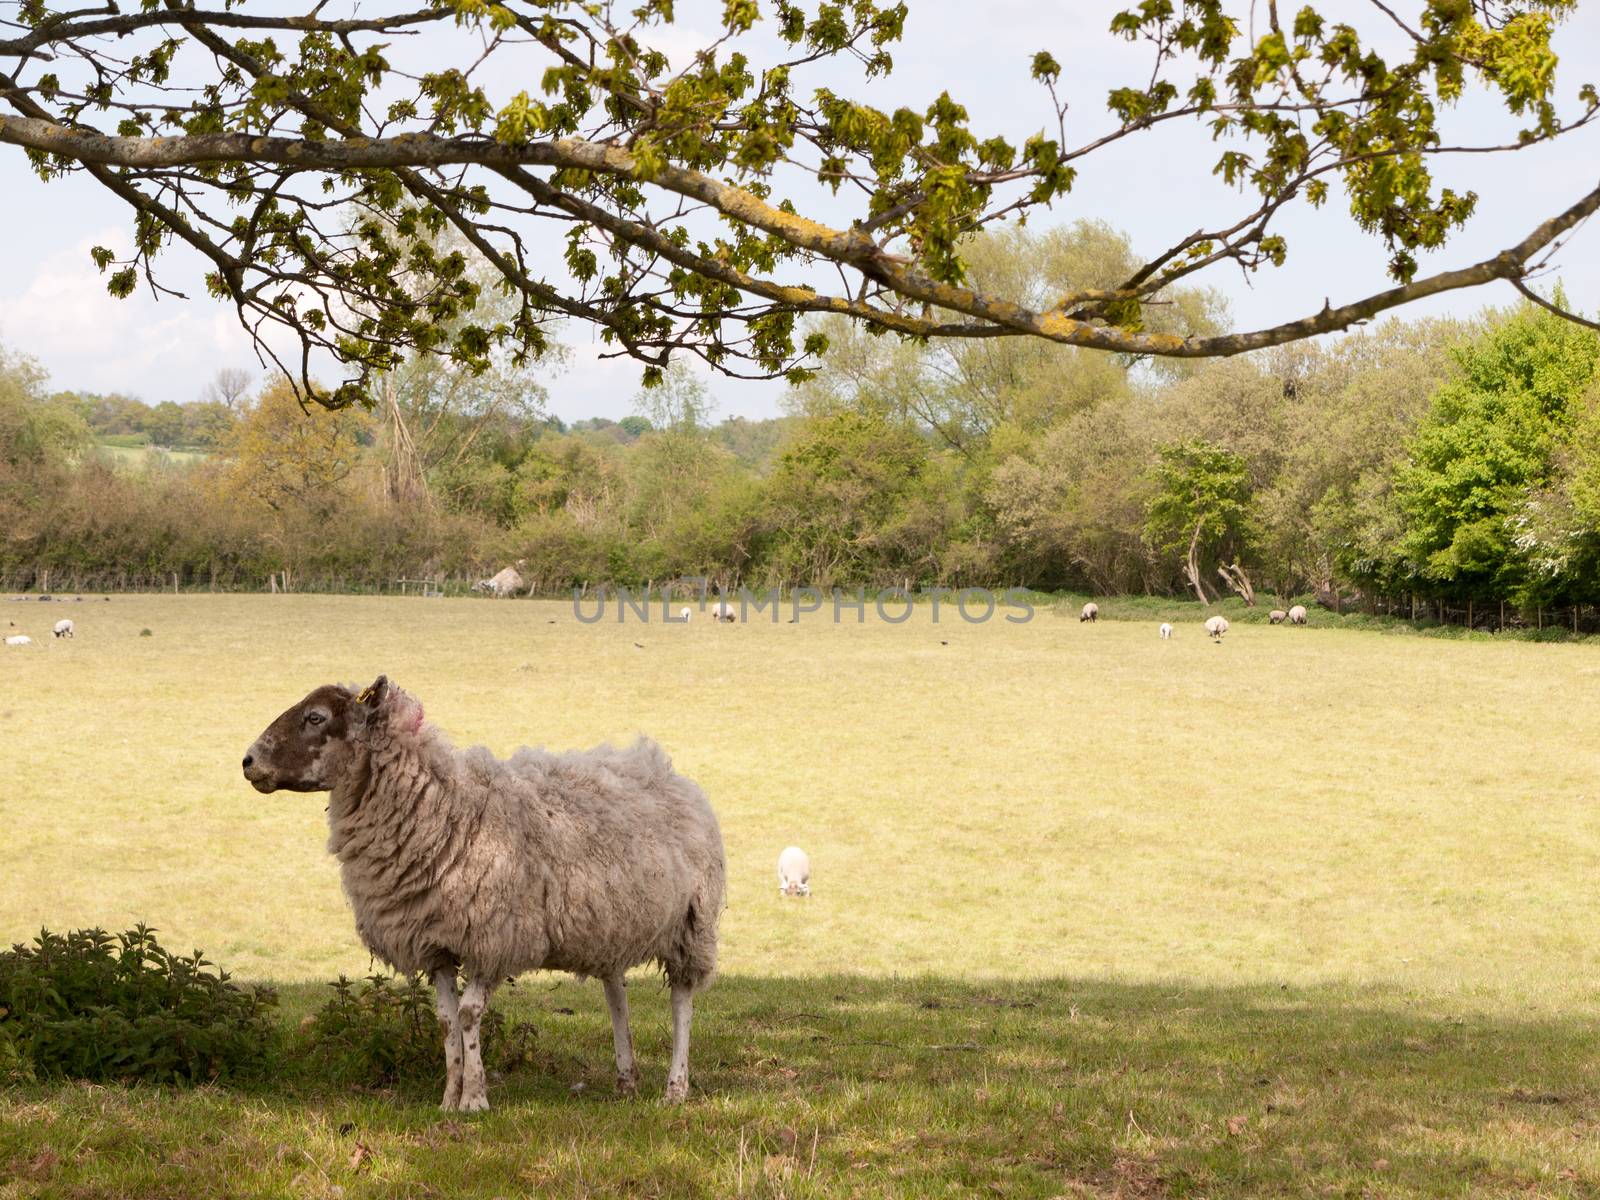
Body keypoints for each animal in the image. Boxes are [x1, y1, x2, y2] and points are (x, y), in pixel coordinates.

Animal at [240, 681, 723, 1113]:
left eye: (316, 717)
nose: (247, 761)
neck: (444, 809)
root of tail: (663, 768)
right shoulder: (434, 942)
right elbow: (445, 1019)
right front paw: (448, 1099)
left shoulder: (493, 938)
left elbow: (470, 1015)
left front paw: (474, 1099)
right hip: (611, 923)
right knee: (616, 993)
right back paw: (625, 1079)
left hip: (691, 925)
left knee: (682, 1000)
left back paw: (675, 1088)